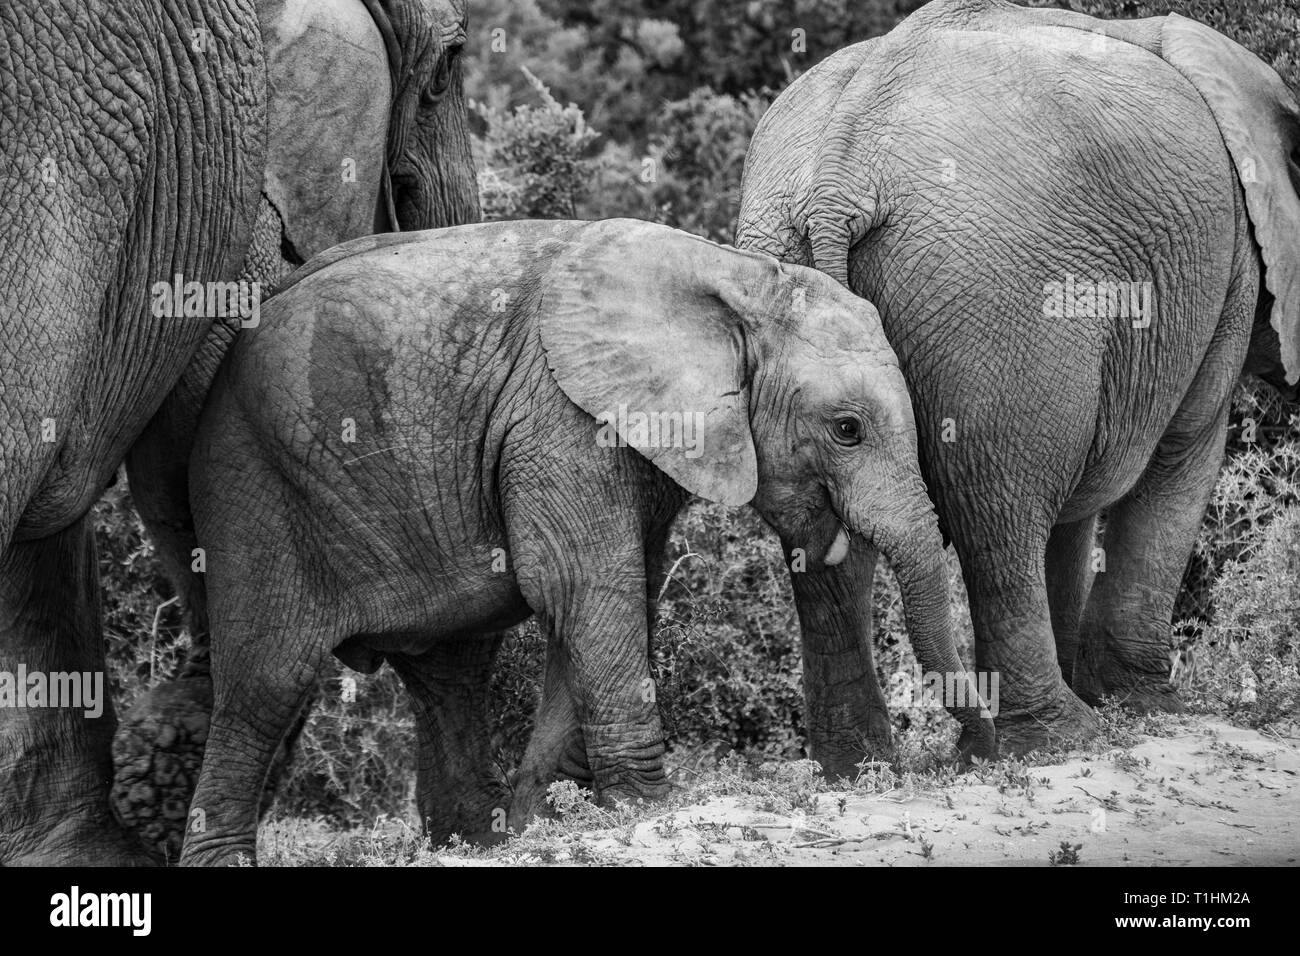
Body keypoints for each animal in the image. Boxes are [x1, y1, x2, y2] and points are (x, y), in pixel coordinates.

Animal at [180, 221, 993, 863]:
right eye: (846, 429)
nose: (971, 755)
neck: (738, 279)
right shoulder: (559, 418)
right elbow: (584, 584)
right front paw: (651, 809)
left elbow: (614, 593)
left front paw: (545, 822)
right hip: (249, 483)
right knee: (265, 683)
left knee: (449, 676)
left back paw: (479, 841)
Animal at [738, 0, 1294, 764]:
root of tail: (837, 178)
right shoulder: (1229, 271)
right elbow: (1184, 454)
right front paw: (1148, 705)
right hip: (999, 304)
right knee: (1000, 511)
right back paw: (1054, 739)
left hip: (790, 260)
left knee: (819, 527)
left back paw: (865, 765)